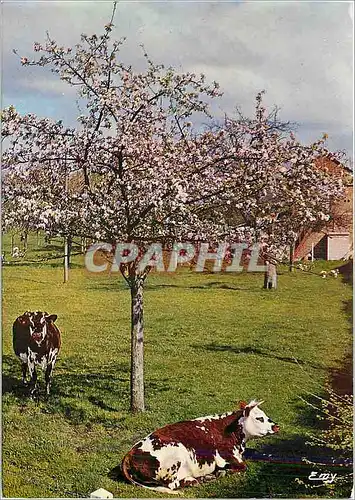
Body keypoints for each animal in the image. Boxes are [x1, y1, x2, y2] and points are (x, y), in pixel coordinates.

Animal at [122, 400, 280, 494]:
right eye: (259, 418)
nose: (276, 426)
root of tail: (130, 452)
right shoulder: (226, 455)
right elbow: (243, 466)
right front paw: (223, 472)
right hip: (175, 454)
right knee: (172, 484)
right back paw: (197, 480)